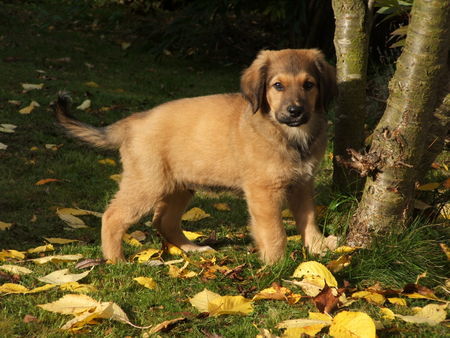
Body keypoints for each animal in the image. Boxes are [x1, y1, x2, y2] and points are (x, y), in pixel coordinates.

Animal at [54, 48, 338, 264]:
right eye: (278, 86)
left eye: (309, 85)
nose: (295, 111)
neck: (291, 135)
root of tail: (132, 122)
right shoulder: (263, 192)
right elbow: (274, 231)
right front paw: (277, 265)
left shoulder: (303, 184)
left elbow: (309, 220)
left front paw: (318, 249)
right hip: (147, 184)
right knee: (112, 216)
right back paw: (116, 260)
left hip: (179, 186)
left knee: (164, 222)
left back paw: (193, 249)